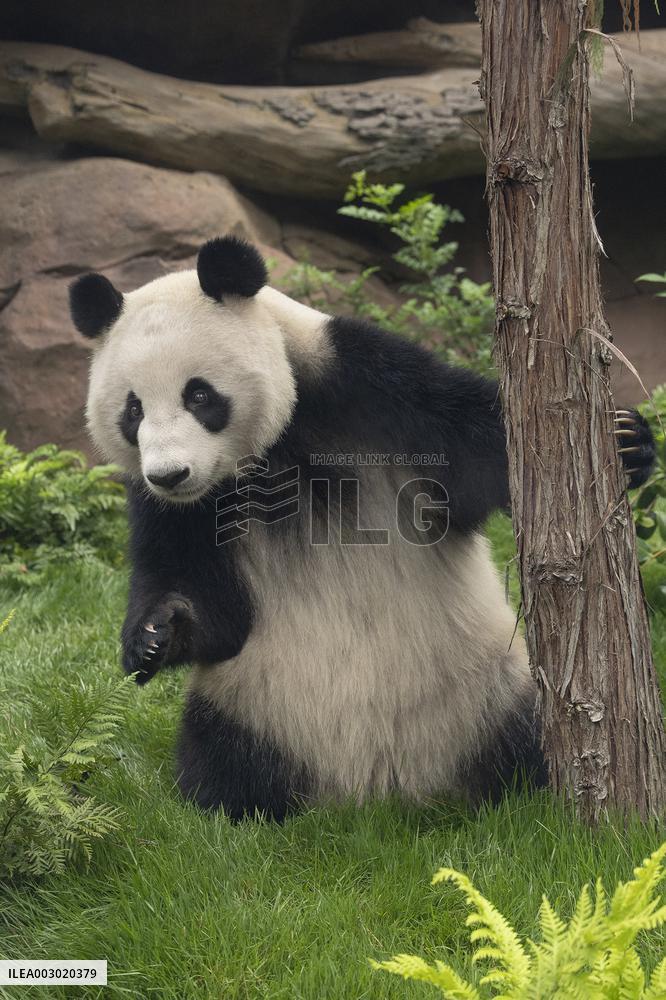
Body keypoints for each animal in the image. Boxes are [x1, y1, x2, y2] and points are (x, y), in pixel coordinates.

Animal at [69, 236, 655, 820]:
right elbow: (206, 601)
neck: (270, 452)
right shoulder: (176, 510)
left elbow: (489, 448)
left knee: (524, 740)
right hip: (251, 706)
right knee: (216, 759)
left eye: (198, 395)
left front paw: (627, 441)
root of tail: (372, 795)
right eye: (133, 410)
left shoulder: (369, 384)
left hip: (487, 690)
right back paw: (239, 804)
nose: (170, 475)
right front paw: (154, 636)